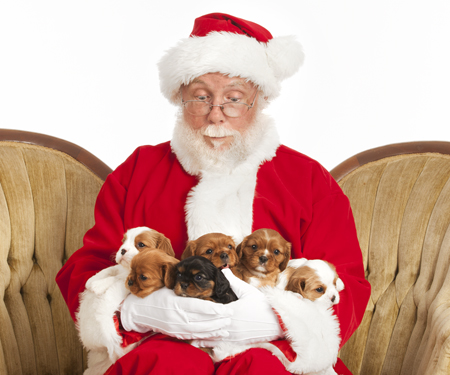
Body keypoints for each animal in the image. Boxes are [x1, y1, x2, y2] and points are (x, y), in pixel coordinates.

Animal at [76, 226, 173, 375]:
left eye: (141, 245)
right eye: (123, 241)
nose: (122, 250)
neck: (127, 269)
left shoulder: (130, 281)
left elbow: (116, 278)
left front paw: (98, 285)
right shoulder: (119, 269)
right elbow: (110, 269)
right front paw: (92, 280)